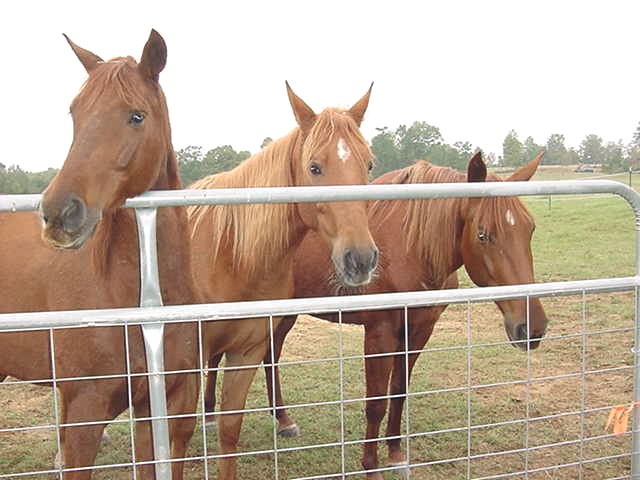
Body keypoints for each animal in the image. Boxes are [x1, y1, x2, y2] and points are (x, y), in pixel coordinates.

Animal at [188, 83, 379, 479]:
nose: (360, 259)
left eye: (368, 164)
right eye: (314, 167)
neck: (229, 251)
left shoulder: (248, 347)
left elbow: (230, 430)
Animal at [261, 151, 550, 479]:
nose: (532, 328)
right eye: (483, 234)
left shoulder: (419, 330)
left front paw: (396, 455)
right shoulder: (380, 333)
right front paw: (371, 467)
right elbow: (376, 403)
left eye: (530, 229)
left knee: (270, 355)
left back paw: (283, 420)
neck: (410, 249)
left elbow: (399, 391)